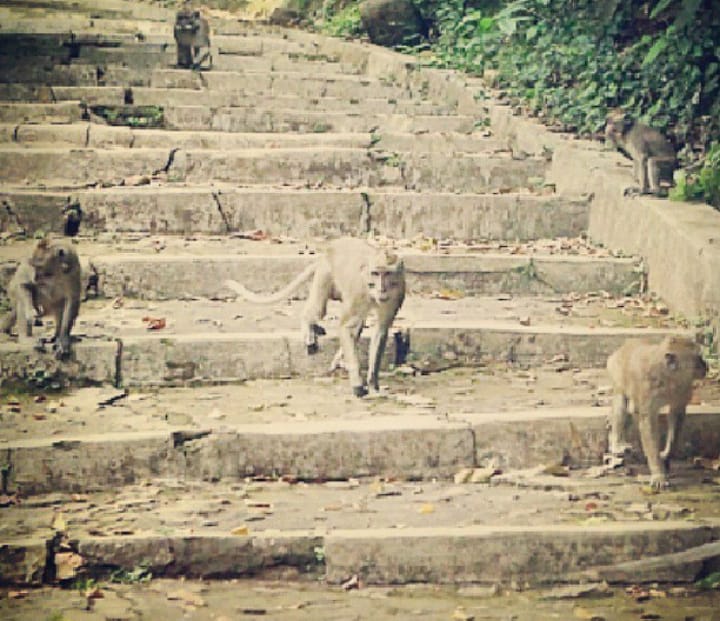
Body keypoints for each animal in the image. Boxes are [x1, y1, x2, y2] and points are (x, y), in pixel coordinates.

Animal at [225, 237, 404, 398]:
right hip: (326, 274)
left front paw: (373, 383)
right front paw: (357, 384)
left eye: (387, 273)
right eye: (375, 273)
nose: (381, 289)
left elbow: (380, 331)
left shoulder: (396, 295)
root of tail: (326, 252)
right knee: (319, 309)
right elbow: (345, 327)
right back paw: (308, 325)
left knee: (357, 324)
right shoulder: (358, 293)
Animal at [604, 334, 704, 490]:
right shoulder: (648, 392)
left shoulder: (683, 389)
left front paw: (667, 455)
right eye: (698, 358)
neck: (668, 378)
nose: (706, 366)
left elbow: (676, 414)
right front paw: (658, 474)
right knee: (621, 404)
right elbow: (648, 423)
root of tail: (624, 346)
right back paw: (616, 442)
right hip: (615, 369)